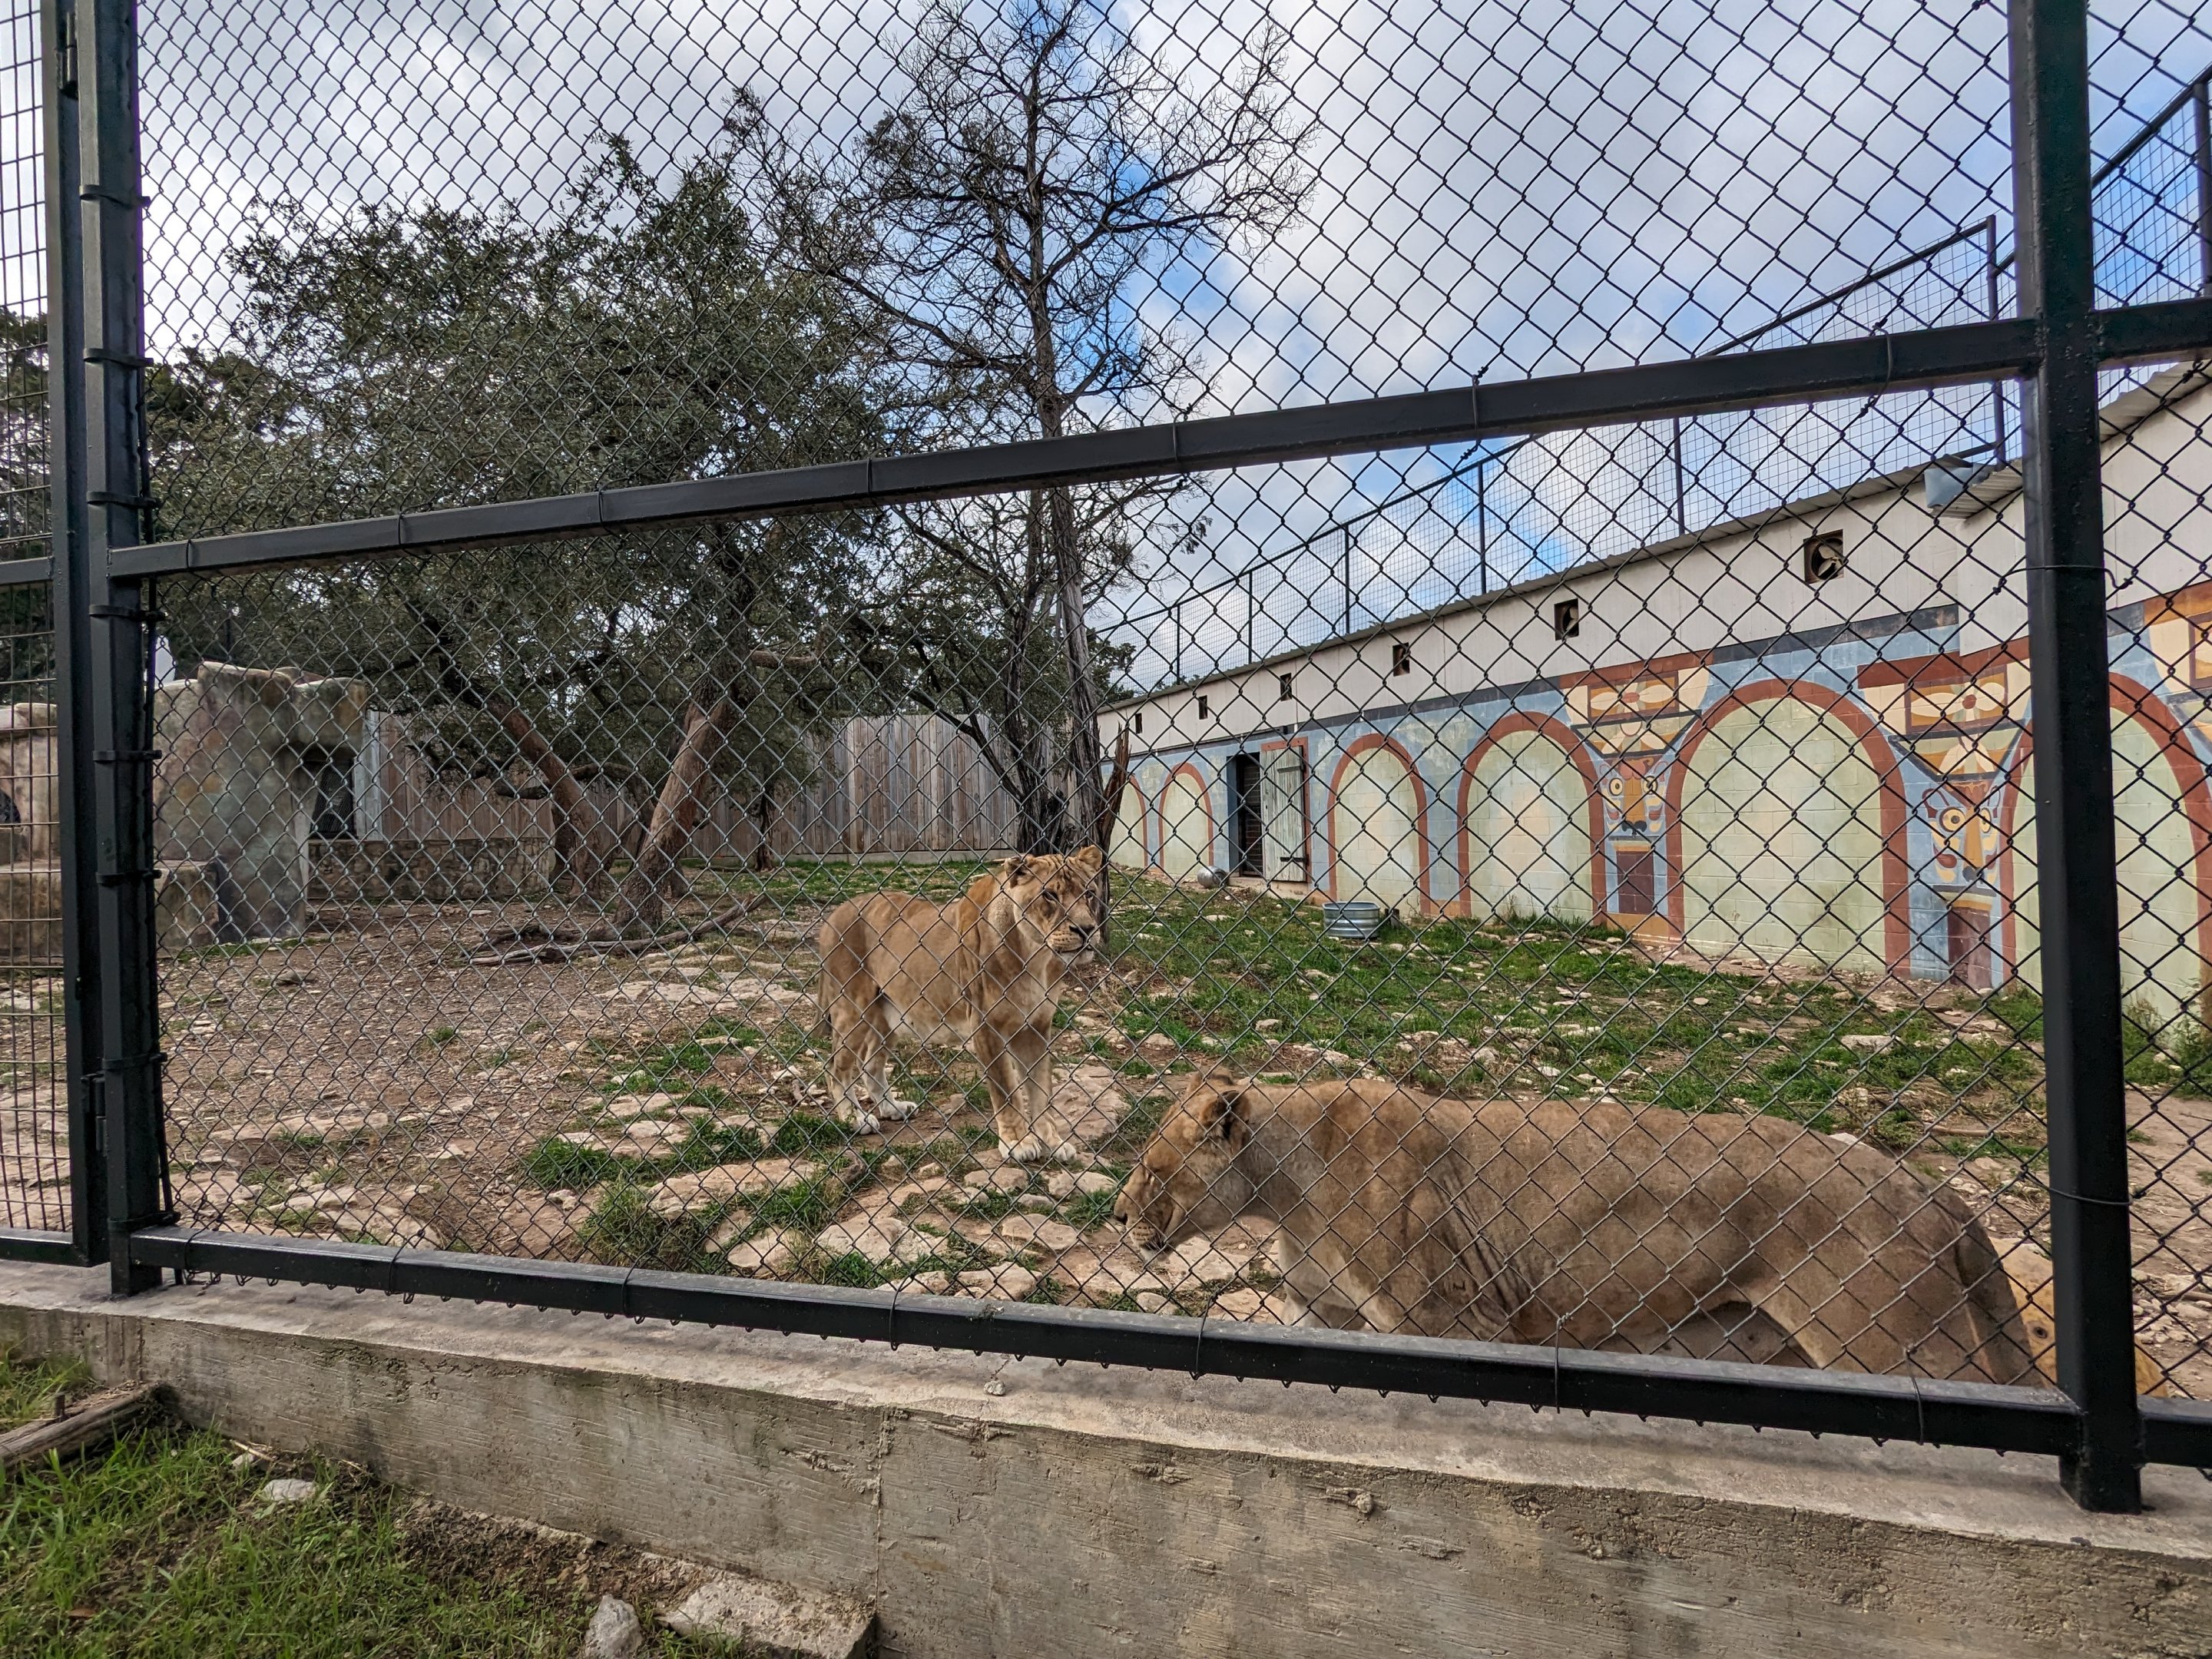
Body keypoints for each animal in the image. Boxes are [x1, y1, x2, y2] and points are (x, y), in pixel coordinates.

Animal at [816, 847, 1103, 1160]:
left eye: (1089, 893)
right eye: (1049, 895)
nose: (1086, 930)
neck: (1036, 955)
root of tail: (836, 911)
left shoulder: (1036, 1027)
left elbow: (1041, 1091)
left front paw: (1053, 1142)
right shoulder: (987, 1027)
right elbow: (1006, 1090)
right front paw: (1018, 1143)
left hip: (889, 1015)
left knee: (870, 1063)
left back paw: (893, 1108)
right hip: (852, 1010)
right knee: (836, 1067)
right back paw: (854, 1118)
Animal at [1116, 1073, 2036, 1383]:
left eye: (1155, 1171)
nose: (1120, 1216)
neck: (1285, 1186)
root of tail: (1933, 1193)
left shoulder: (1456, 1320)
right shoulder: (1325, 1314)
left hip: (1896, 1344)